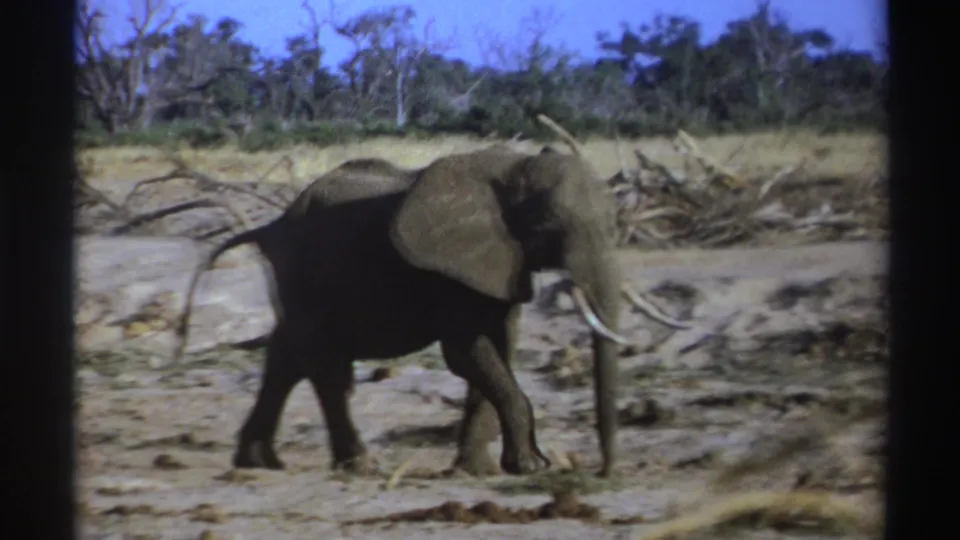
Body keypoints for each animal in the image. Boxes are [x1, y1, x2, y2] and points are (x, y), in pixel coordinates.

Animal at [174, 117, 692, 478]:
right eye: (548, 226)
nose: (604, 473)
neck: (514, 168)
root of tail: (271, 225)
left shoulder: (501, 261)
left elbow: (498, 348)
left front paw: (481, 472)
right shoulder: (451, 267)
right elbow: (467, 352)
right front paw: (531, 468)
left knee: (288, 356)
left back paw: (260, 462)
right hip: (305, 273)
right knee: (321, 363)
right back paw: (357, 465)